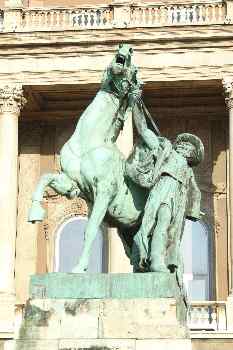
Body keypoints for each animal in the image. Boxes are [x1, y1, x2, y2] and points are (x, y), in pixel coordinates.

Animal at [28, 43, 147, 272]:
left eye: (135, 70)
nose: (127, 47)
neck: (90, 140)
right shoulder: (72, 181)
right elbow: (45, 177)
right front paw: (35, 211)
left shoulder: (104, 191)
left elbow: (91, 229)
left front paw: (79, 268)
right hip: (128, 230)